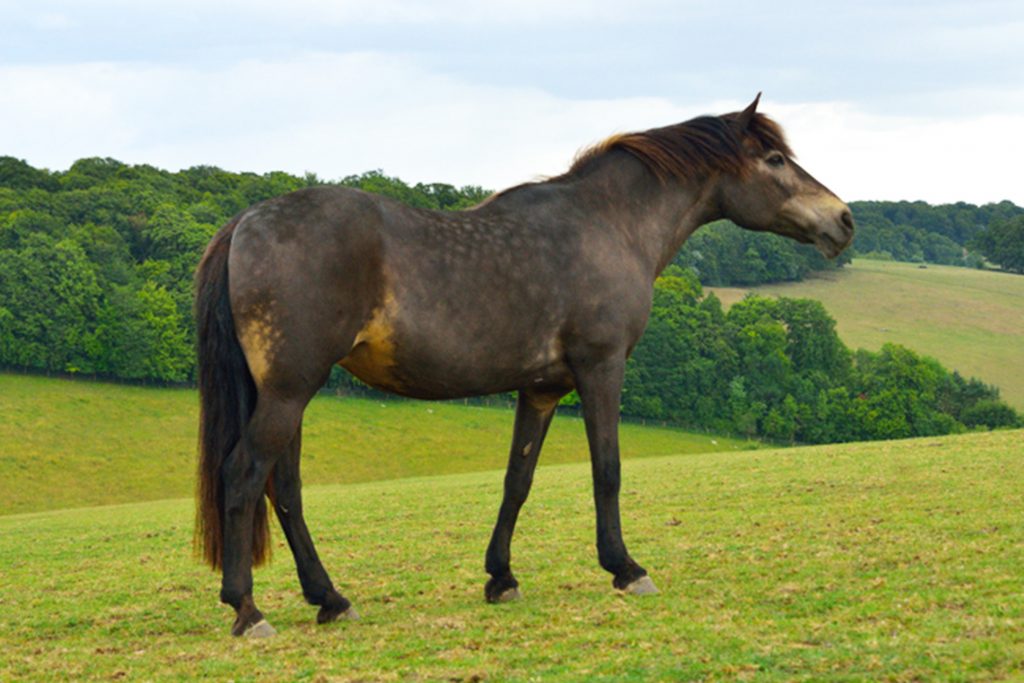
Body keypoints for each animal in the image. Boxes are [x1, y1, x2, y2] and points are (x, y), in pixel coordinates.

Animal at [193, 94, 856, 634]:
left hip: (288, 393)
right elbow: (608, 470)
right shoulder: (601, 369)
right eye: (774, 159)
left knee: (285, 490)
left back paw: (330, 599)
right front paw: (625, 568)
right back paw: (247, 609)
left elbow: (518, 480)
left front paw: (501, 578)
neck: (608, 224)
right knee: (246, 475)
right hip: (290, 390)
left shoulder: (541, 390)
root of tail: (246, 221)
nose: (845, 219)